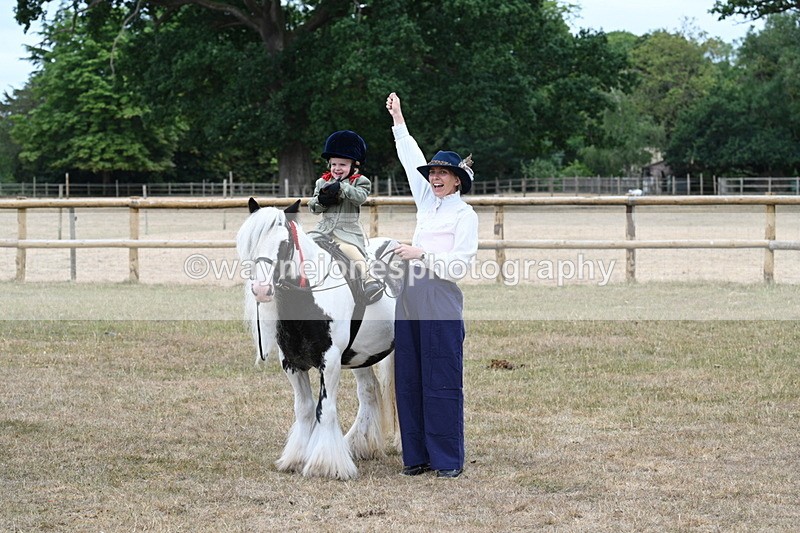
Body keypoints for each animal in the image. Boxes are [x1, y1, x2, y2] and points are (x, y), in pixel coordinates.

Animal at [236, 198, 402, 480]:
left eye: (284, 244)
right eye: (253, 241)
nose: (260, 289)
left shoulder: (330, 361)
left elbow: (325, 409)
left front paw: (325, 464)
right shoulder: (291, 363)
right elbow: (304, 409)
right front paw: (296, 458)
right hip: (362, 357)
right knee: (368, 392)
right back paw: (360, 445)